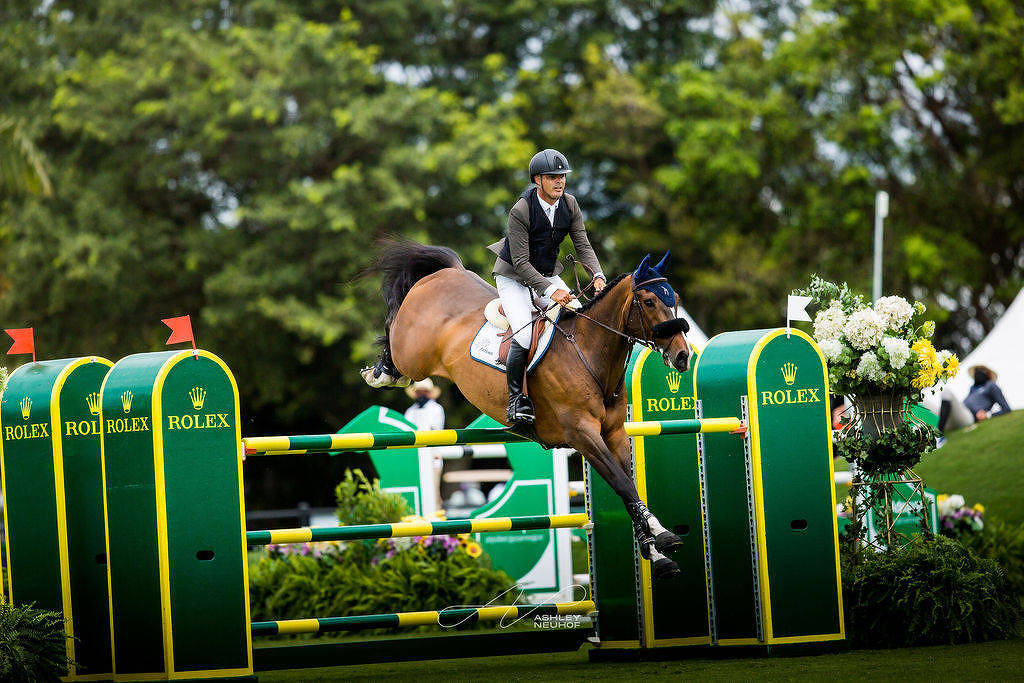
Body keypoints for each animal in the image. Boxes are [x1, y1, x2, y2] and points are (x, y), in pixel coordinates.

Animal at [364, 240, 692, 577]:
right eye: (650, 301)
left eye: (675, 300)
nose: (683, 356)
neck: (589, 355)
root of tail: (446, 273)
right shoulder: (583, 435)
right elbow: (623, 483)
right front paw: (660, 539)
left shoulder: (614, 434)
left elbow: (630, 486)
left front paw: (656, 549)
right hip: (412, 355)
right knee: (393, 332)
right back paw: (380, 371)